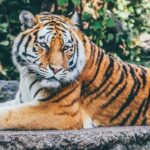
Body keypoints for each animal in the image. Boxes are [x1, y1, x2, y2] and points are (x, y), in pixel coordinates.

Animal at [0, 10, 150, 130]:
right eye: (43, 45)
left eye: (66, 48)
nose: (56, 69)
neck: (29, 75)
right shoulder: (21, 101)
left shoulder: (57, 109)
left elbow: (9, 114)